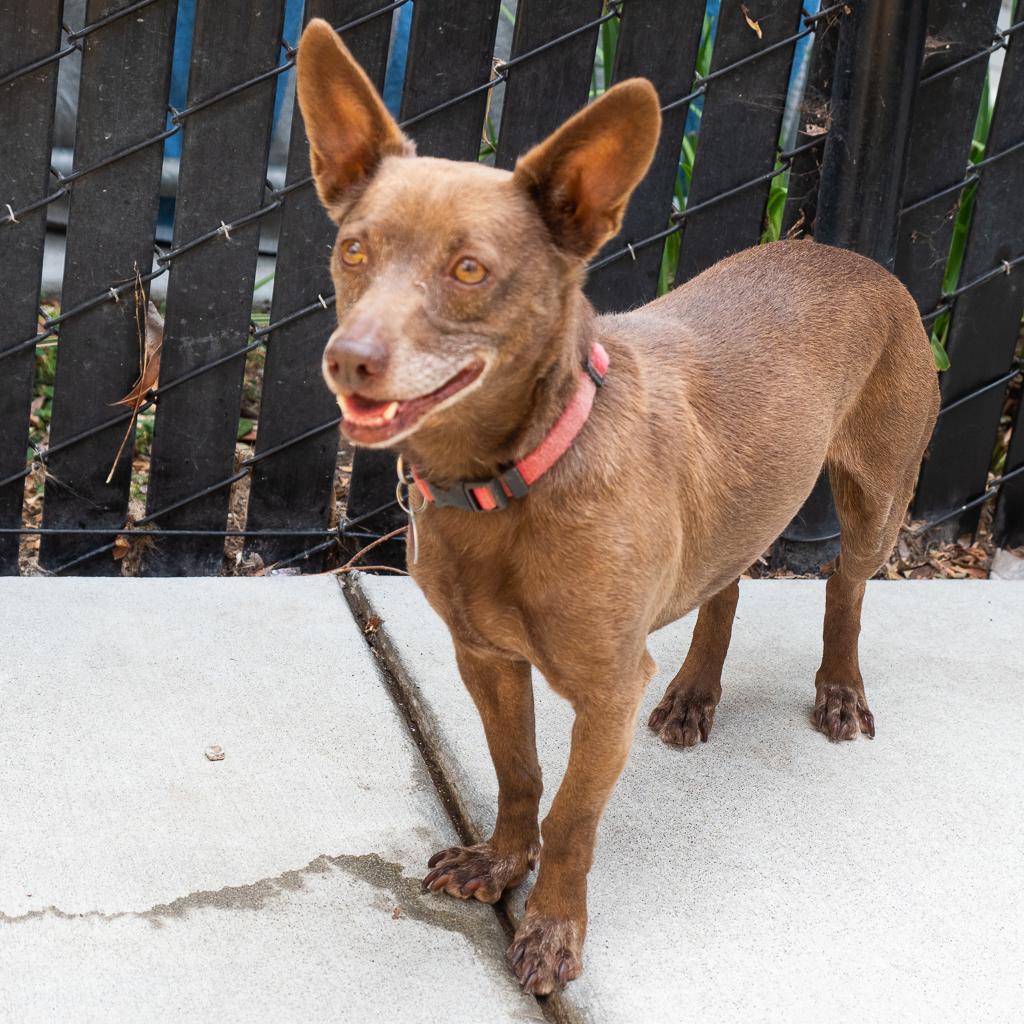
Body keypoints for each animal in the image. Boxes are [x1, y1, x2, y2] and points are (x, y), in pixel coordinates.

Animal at [292, 19, 937, 995]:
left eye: (470, 269)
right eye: (354, 250)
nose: (347, 359)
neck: (508, 482)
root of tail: (842, 251)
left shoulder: (605, 693)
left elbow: (570, 817)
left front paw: (554, 929)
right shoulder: (485, 659)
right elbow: (518, 774)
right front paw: (499, 861)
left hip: (878, 500)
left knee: (844, 586)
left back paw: (838, 689)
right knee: (726, 585)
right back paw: (696, 693)